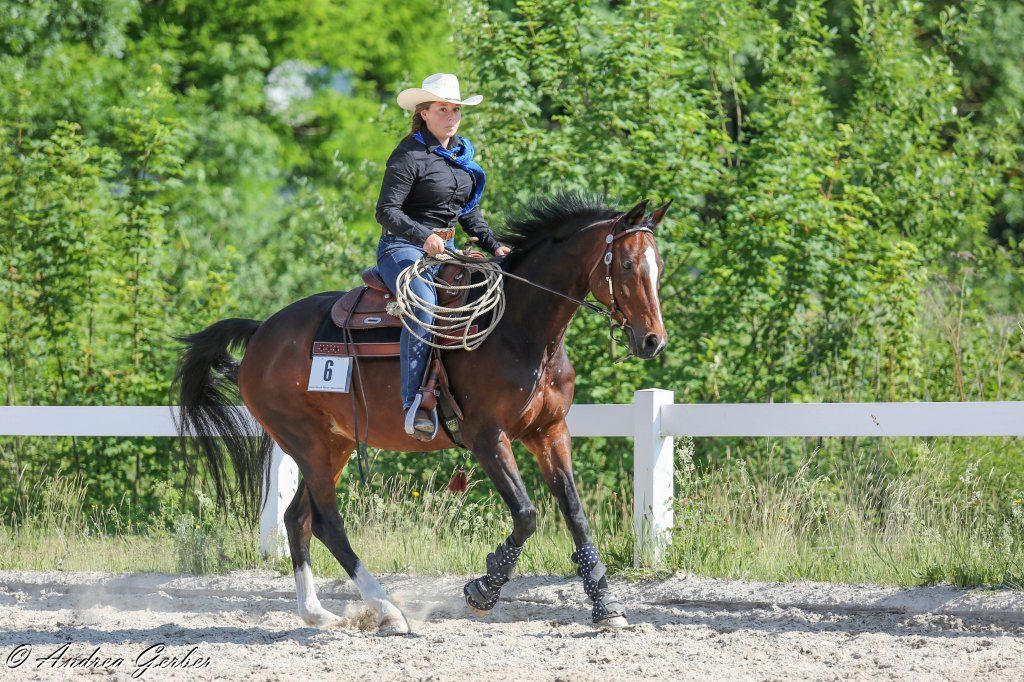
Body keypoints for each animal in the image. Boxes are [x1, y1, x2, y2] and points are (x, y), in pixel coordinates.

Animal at [173, 191, 670, 634]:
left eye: (658, 266)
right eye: (627, 265)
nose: (652, 341)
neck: (518, 330)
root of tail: (261, 333)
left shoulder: (549, 431)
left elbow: (575, 515)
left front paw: (606, 608)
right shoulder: (487, 436)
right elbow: (527, 514)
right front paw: (482, 589)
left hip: (334, 443)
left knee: (298, 520)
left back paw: (319, 615)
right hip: (305, 441)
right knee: (329, 524)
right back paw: (388, 612)